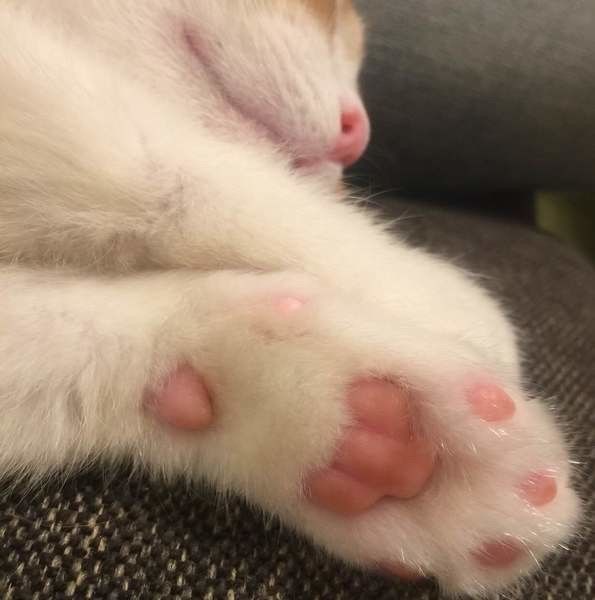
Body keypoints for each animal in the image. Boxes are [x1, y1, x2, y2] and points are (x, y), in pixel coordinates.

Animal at [0, 0, 581, 595]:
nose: (356, 133)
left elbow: (62, 354)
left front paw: (364, 433)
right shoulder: (39, 87)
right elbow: (148, 156)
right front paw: (428, 292)